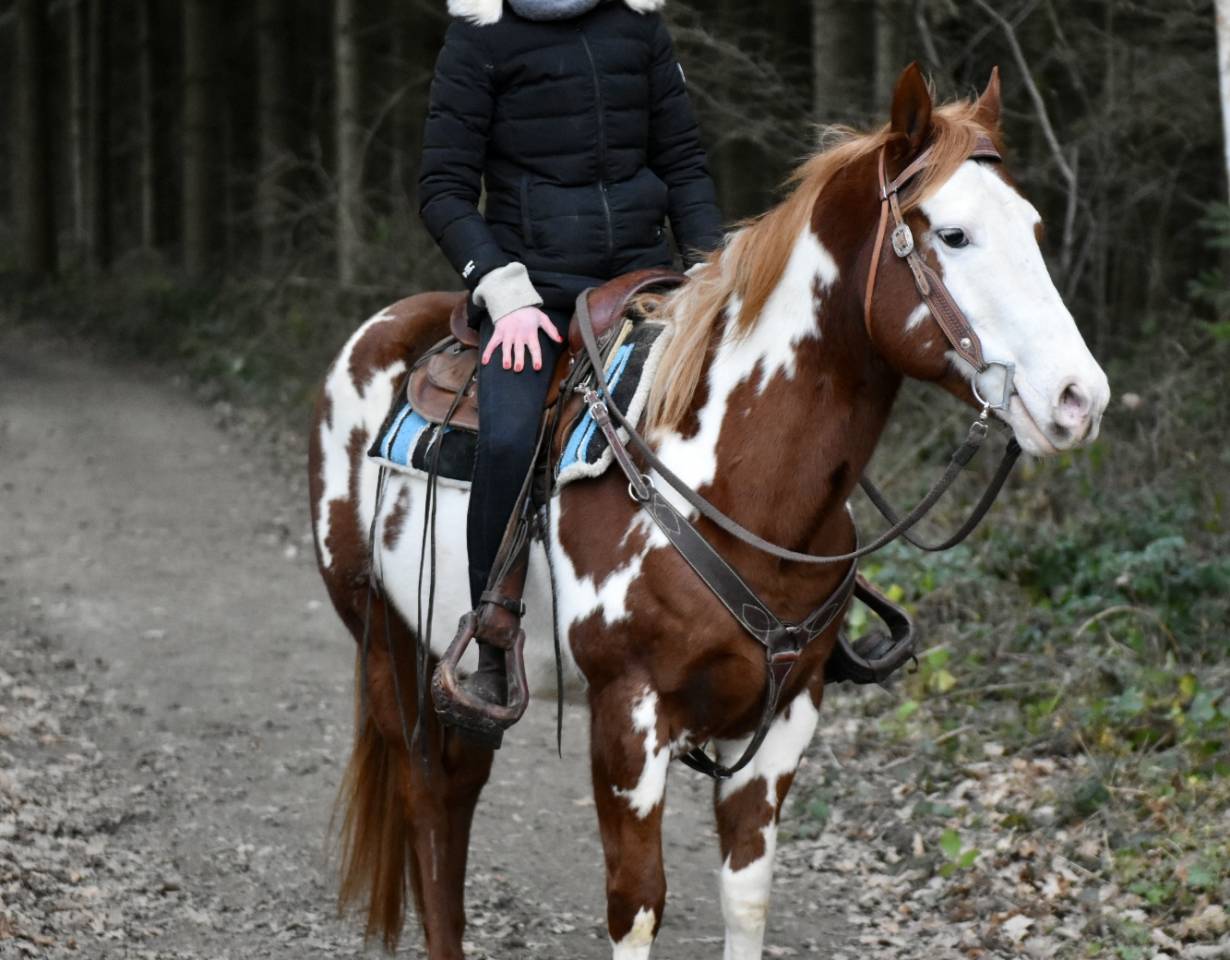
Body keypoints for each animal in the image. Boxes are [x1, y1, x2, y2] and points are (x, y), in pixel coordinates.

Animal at [308, 64, 1110, 960]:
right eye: (955, 234)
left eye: (1031, 227)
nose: (1079, 398)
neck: (737, 483)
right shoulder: (629, 717)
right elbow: (637, 904)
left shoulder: (786, 716)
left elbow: (747, 896)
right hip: (386, 643)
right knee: (428, 805)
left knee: (457, 797)